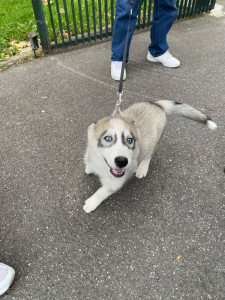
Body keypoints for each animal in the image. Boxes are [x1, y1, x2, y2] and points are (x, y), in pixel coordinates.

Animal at [83, 101, 217, 213]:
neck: (102, 164)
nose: (122, 161)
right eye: (108, 138)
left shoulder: (116, 181)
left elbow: (102, 191)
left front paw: (92, 202)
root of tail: (158, 105)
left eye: (130, 140)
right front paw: (89, 167)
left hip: (154, 141)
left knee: (149, 155)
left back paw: (143, 168)